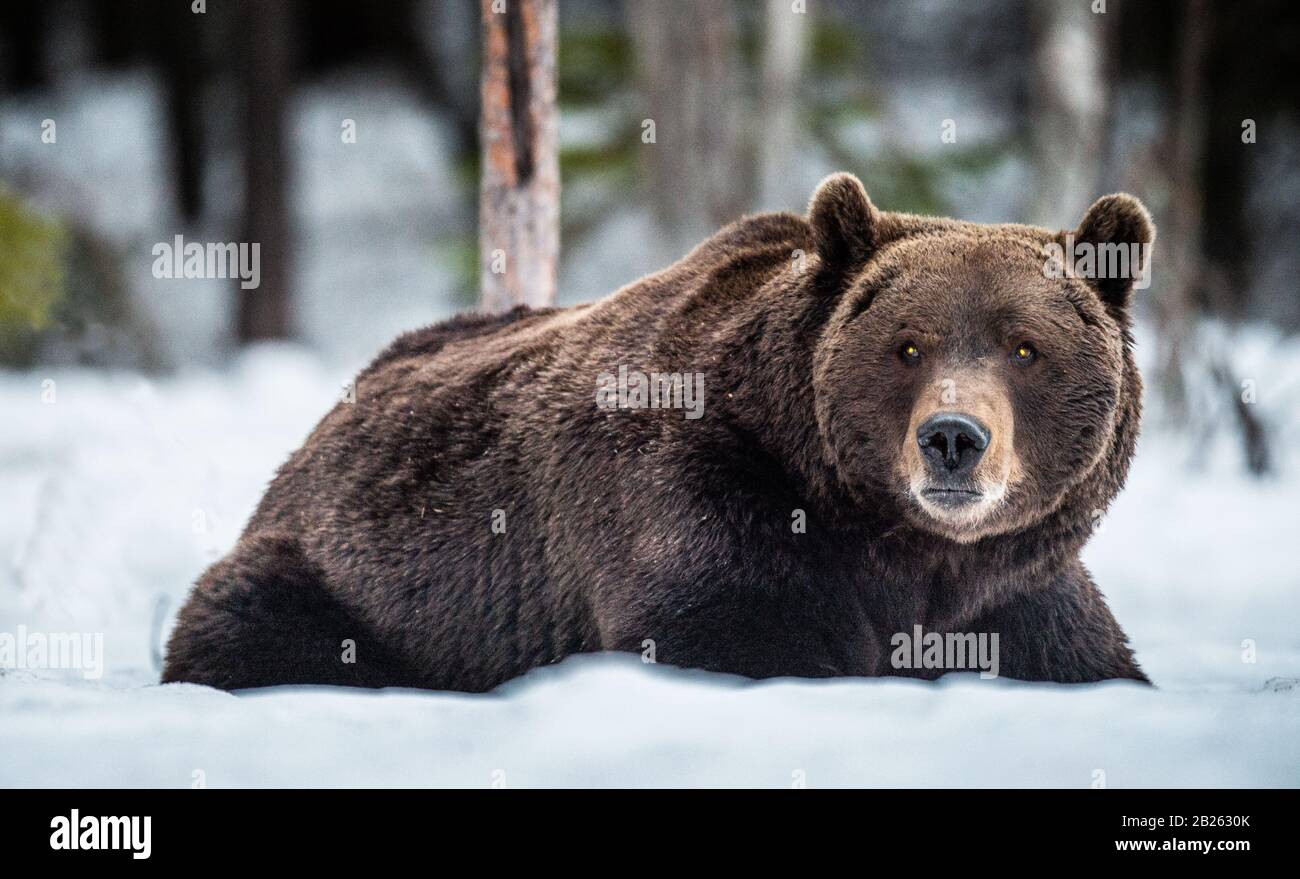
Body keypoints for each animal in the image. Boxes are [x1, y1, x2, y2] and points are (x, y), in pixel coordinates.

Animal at [162, 172, 1149, 691]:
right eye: (908, 344)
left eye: (1024, 346)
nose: (952, 438)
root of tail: (329, 415)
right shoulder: (701, 503)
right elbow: (743, 634)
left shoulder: (1015, 591)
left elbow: (1087, 655)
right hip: (347, 576)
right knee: (248, 619)